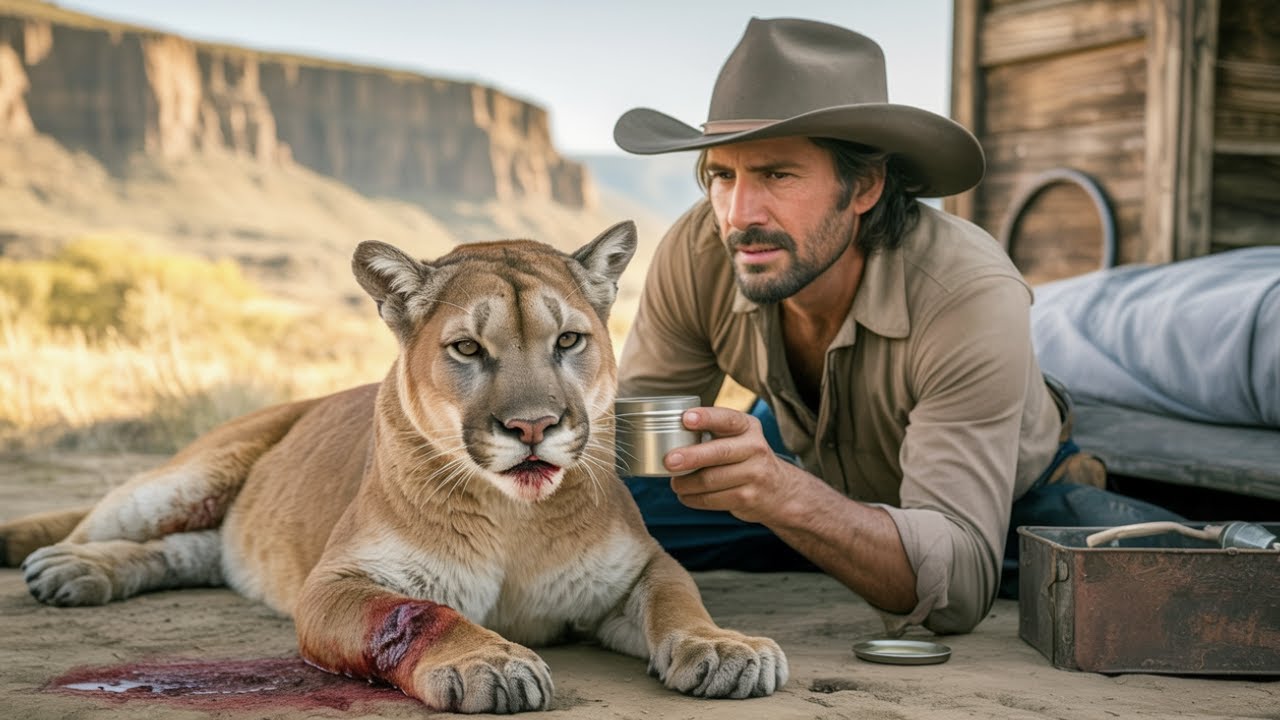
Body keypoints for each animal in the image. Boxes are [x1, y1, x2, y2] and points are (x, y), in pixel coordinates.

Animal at [0, 221, 788, 713]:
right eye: (467, 348)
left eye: (569, 340)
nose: (532, 426)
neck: (513, 518)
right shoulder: (336, 583)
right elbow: (422, 613)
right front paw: (487, 663)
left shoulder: (639, 568)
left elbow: (679, 601)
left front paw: (726, 649)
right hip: (180, 481)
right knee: (106, 524)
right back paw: (67, 567)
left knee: (188, 551)